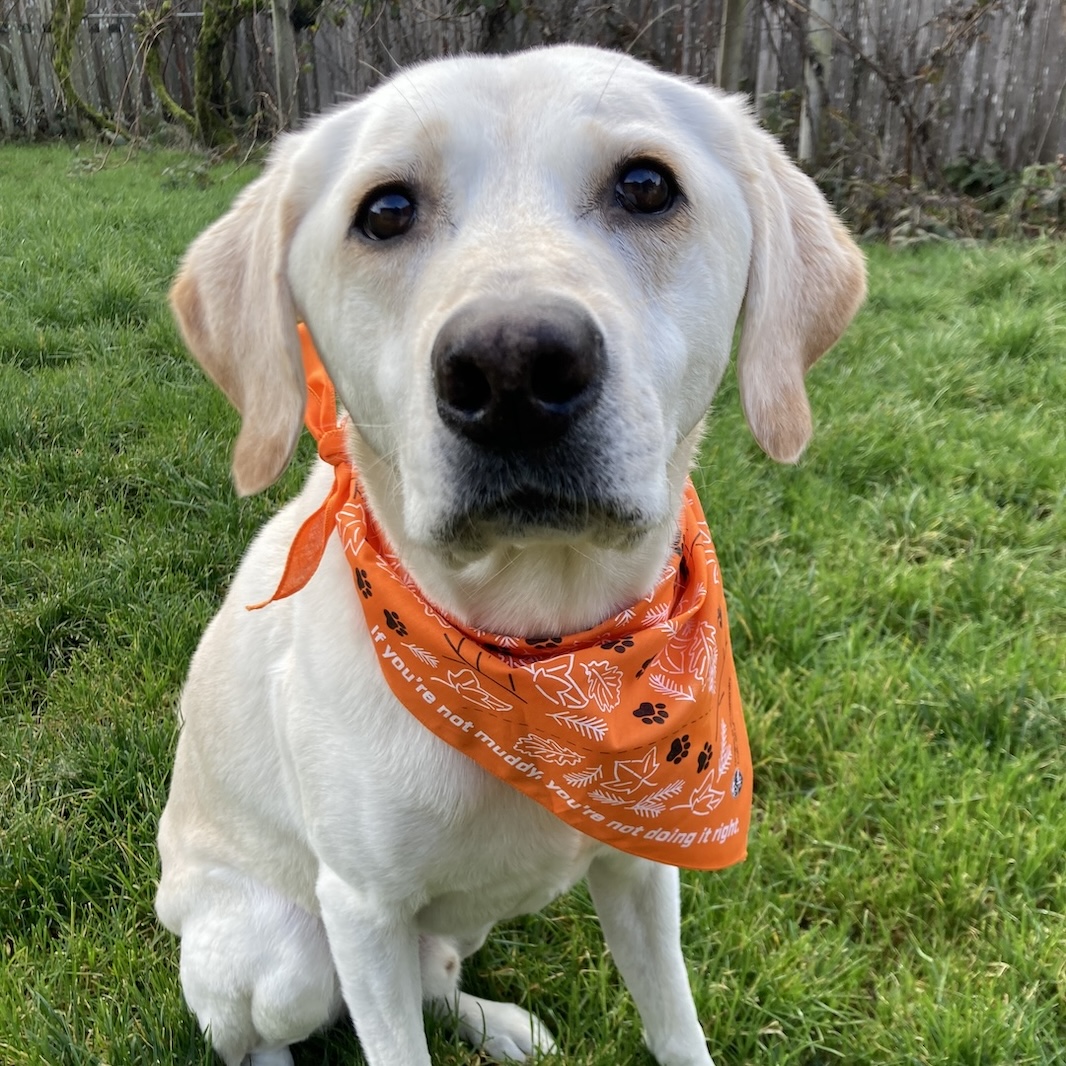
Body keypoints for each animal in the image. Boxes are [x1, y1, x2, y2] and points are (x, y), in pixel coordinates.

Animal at [157, 41, 865, 1066]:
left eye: (647, 185)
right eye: (386, 210)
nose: (512, 369)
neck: (548, 653)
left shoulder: (645, 869)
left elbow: (676, 1025)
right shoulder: (360, 912)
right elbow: (392, 1040)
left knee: (439, 971)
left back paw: (498, 1024)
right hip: (286, 953)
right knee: (260, 1032)